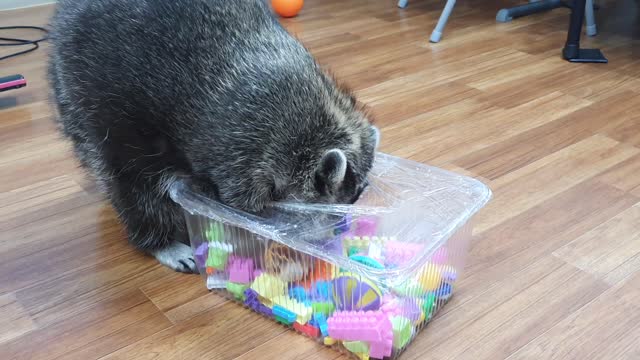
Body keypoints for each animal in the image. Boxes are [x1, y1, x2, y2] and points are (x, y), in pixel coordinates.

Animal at [51, 0, 380, 272]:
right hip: (92, 97)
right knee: (129, 178)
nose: (335, 236)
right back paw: (158, 239)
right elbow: (244, 210)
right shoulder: (241, 151)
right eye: (332, 214)